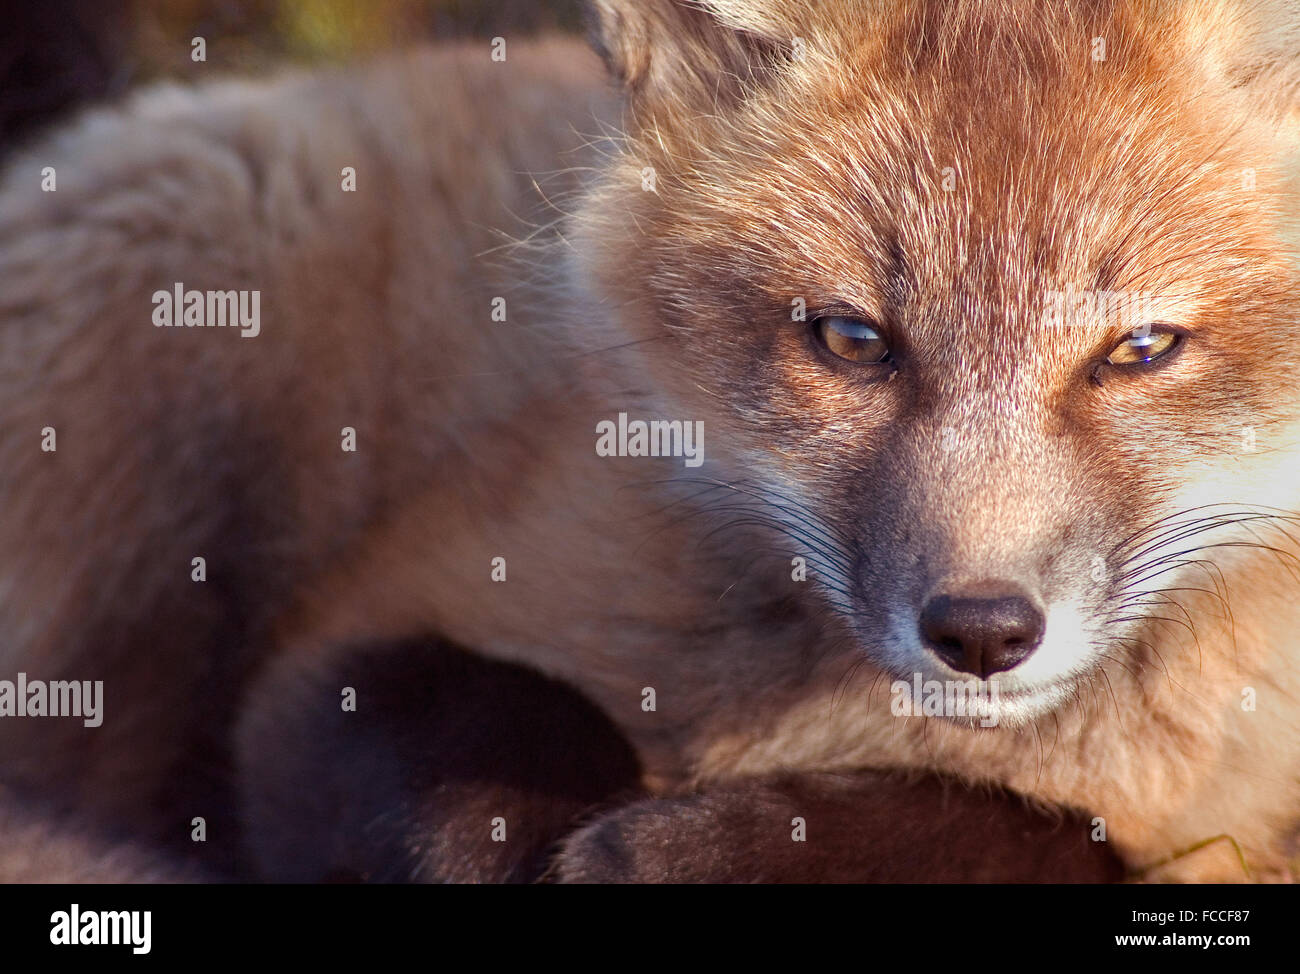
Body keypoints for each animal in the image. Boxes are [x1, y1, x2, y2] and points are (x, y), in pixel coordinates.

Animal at [2, 0, 1300, 879]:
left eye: (1138, 349)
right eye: (849, 338)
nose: (980, 629)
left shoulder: (1224, 823)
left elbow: (1045, 838)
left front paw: (669, 847)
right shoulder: (340, 644)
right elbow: (466, 743)